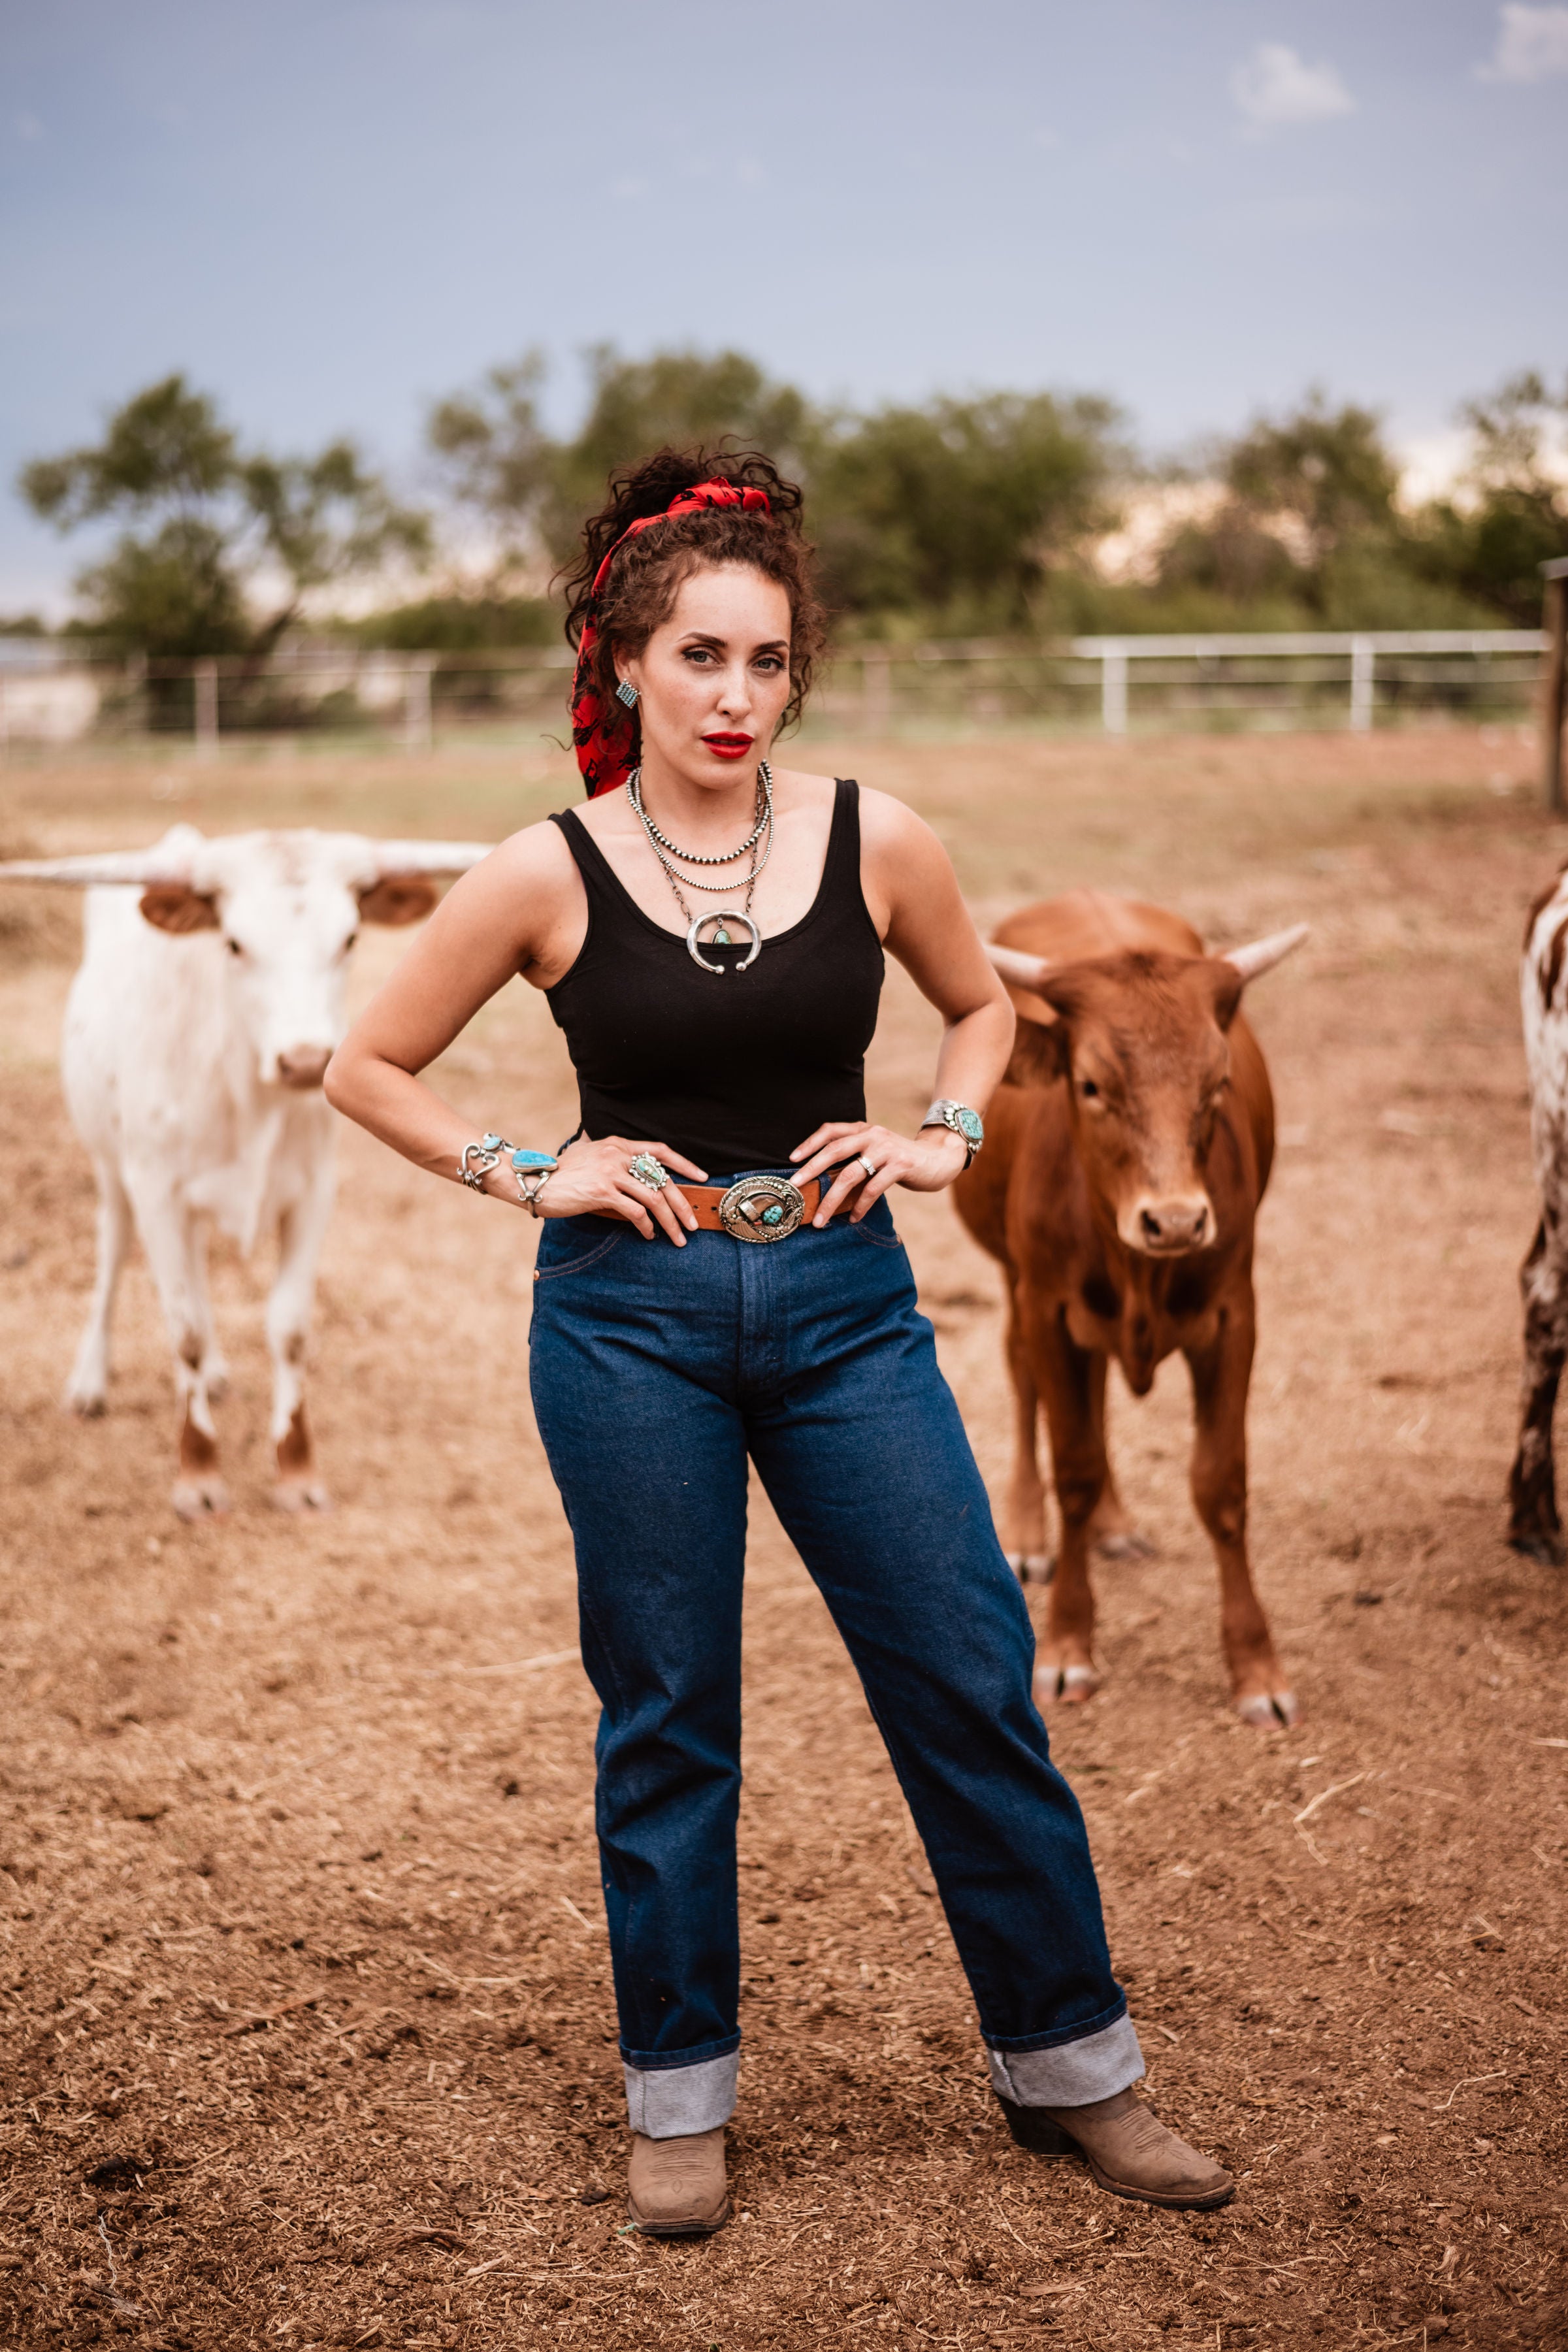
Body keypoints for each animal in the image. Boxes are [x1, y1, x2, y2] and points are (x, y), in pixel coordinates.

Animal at [0, 828, 491, 1514]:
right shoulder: (157, 1194)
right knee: (112, 1251)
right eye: (234, 944)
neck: (243, 1087)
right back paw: (91, 1380)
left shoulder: (312, 1194)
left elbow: (289, 1328)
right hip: (111, 1170)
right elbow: (182, 1330)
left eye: (349, 939)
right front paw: (199, 1473)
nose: (307, 1060)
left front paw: (296, 1469)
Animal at [964, 889, 1307, 1722]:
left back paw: (1114, 1526)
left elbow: (1221, 1484)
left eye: (1217, 1084)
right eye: (1090, 1086)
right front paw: (1066, 1647)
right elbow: (1075, 1469)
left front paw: (1257, 1667)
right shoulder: (1047, 1306)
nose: (1176, 1222)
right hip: (1017, 1286)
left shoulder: (1235, 1315)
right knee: (1026, 1386)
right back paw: (1030, 1534)